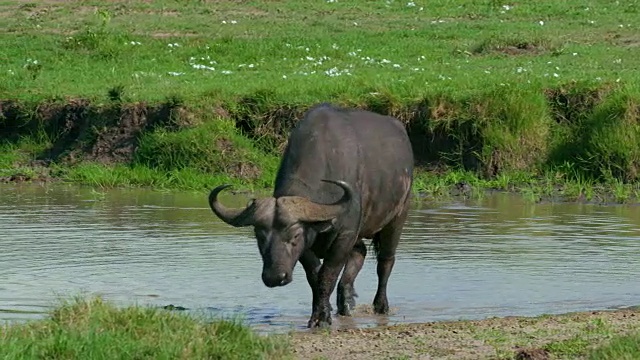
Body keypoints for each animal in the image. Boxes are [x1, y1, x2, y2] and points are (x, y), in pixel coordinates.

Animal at [208, 102, 412, 328]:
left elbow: (327, 275)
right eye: (260, 237)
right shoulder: (312, 246)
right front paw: (320, 313)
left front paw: (322, 319)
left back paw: (381, 305)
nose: (274, 277)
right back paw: (345, 303)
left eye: (295, 235)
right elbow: (314, 276)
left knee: (385, 261)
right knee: (359, 254)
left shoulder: (345, 235)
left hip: (398, 216)